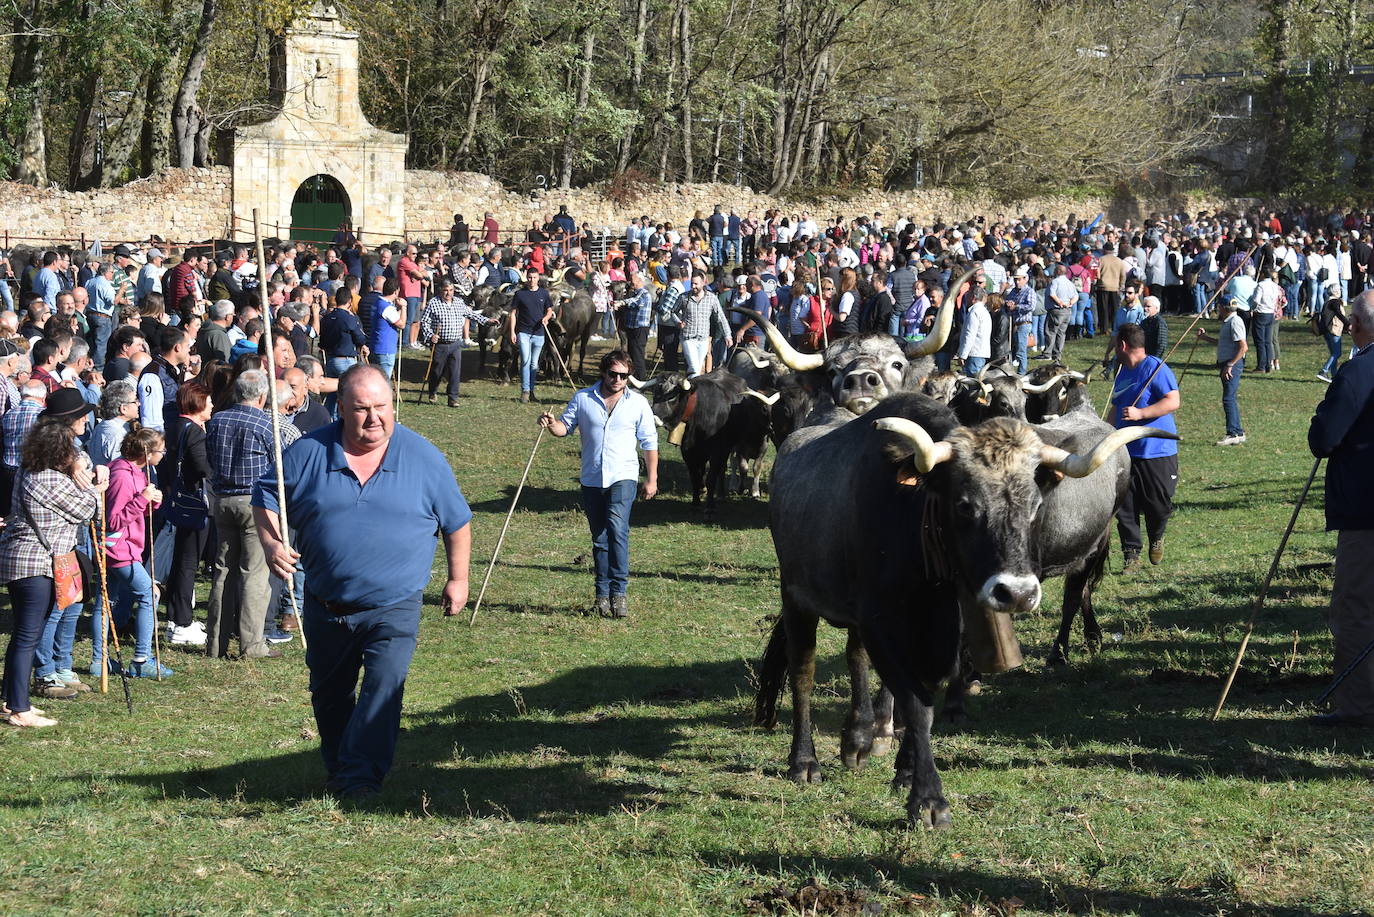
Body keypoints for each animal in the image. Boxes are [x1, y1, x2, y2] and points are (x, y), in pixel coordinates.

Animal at [758, 390, 1176, 830]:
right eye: (964, 506)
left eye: (1033, 505)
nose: (1017, 593)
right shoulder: (881, 624)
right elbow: (915, 704)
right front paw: (928, 799)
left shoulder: (936, 633)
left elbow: (922, 697)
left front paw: (905, 772)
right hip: (797, 599)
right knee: (803, 673)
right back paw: (804, 761)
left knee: (855, 658)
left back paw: (856, 738)